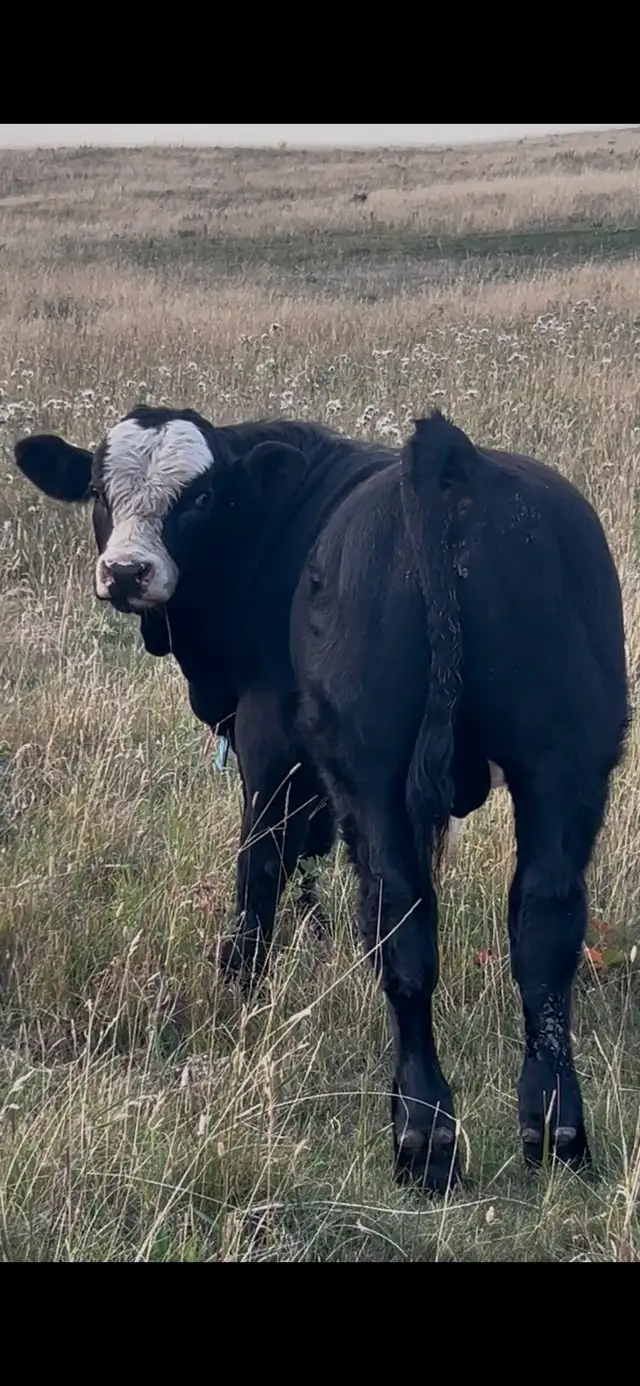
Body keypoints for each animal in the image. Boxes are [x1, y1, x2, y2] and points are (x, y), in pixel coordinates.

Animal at [15, 405, 628, 1194]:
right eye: (98, 490)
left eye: (200, 497)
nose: (126, 572)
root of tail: (450, 458)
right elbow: (307, 860)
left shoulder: (270, 739)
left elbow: (262, 861)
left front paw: (240, 981)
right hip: (566, 764)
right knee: (544, 930)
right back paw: (556, 1132)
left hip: (375, 769)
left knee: (402, 926)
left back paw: (423, 1137)